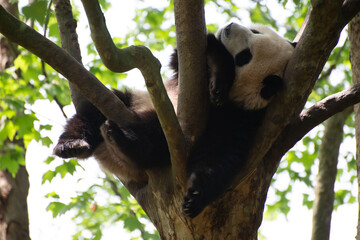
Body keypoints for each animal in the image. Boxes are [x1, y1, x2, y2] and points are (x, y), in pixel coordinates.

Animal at [53, 22, 296, 217]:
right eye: (255, 31)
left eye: (245, 56)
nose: (229, 27)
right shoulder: (186, 76)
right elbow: (179, 58)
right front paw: (217, 69)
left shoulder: (242, 118)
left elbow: (222, 154)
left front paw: (195, 196)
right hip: (134, 101)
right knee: (95, 112)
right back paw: (72, 144)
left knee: (156, 138)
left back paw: (123, 143)